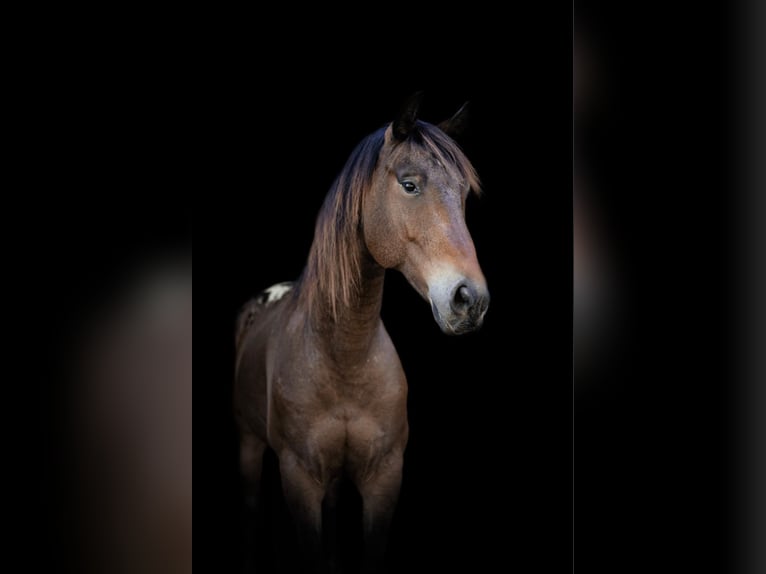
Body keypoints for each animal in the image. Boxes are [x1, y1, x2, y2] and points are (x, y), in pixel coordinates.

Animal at [232, 92, 492, 572]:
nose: (471, 299)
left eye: (464, 194)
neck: (345, 356)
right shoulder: (300, 479)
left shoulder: (383, 477)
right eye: (409, 185)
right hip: (248, 446)